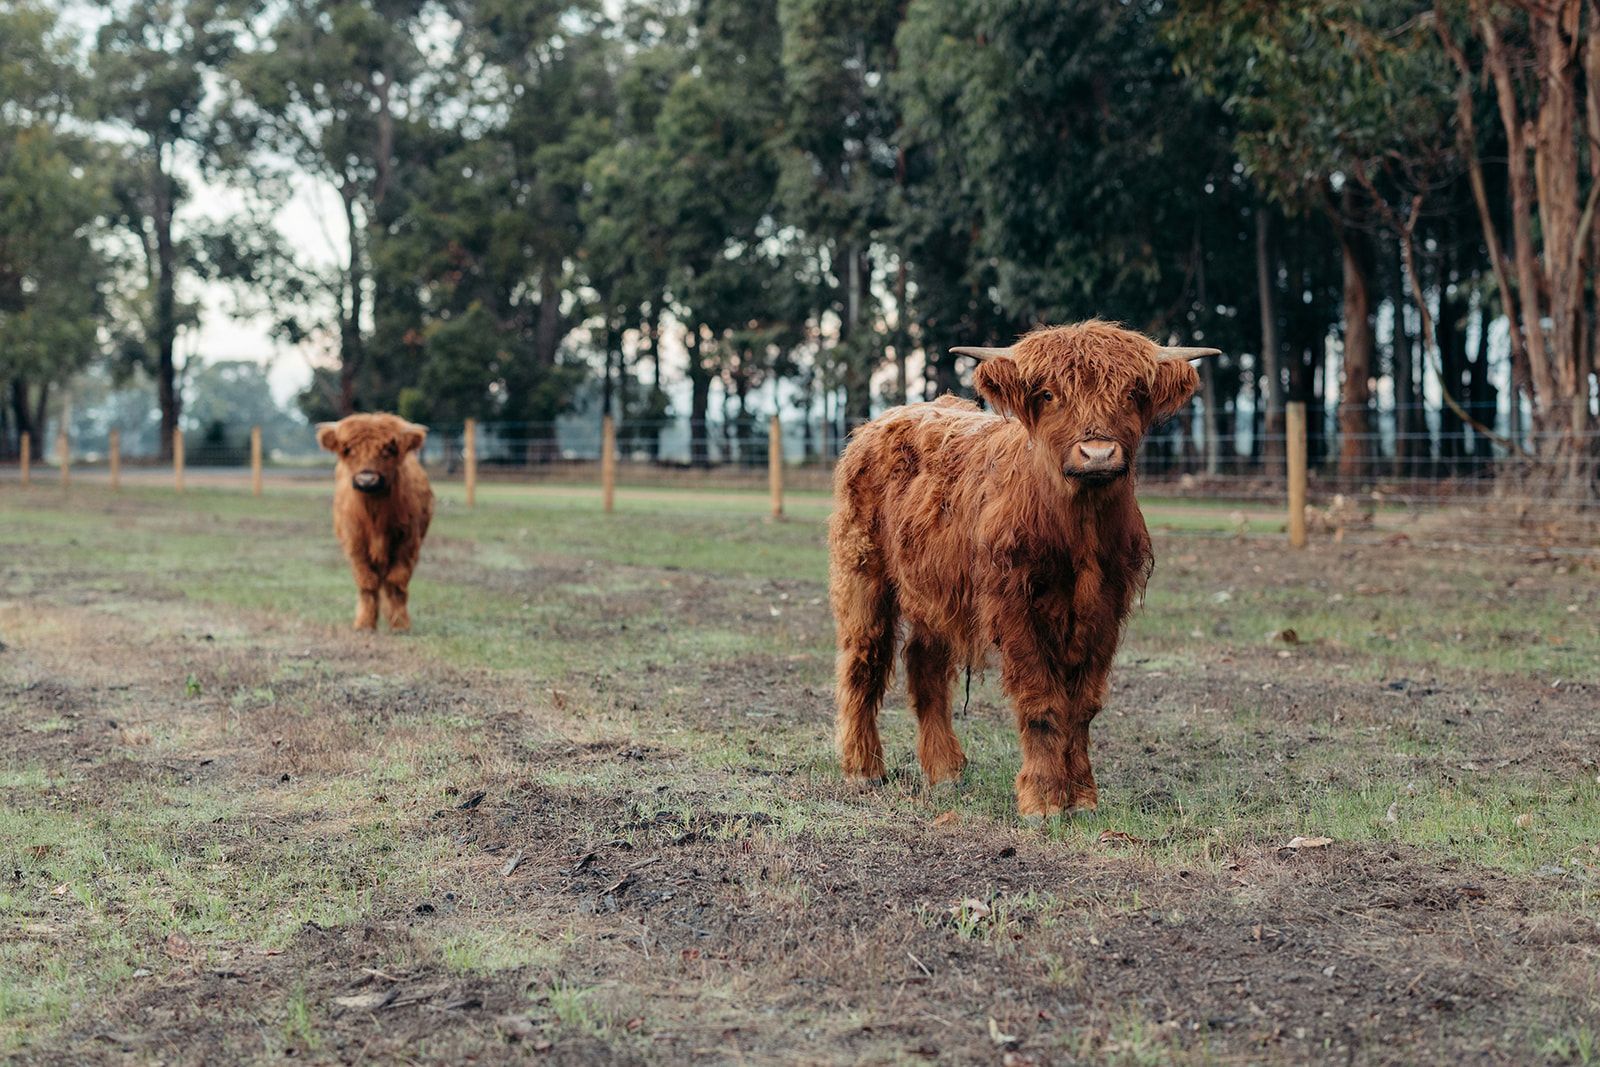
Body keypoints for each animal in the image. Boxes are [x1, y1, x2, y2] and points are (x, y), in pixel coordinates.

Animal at [316, 413, 434, 632]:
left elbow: (396, 581)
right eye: (348, 450)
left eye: (389, 450)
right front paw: (364, 623)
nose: (367, 480)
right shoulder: (355, 543)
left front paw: (400, 624)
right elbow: (367, 582)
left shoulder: (407, 542)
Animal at [828, 321, 1219, 819]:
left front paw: (1083, 797)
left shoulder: (1106, 609)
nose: (1097, 454)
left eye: (1132, 393)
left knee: (924, 664)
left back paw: (945, 770)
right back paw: (863, 769)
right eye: (1049, 394)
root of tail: (881, 422)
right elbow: (1041, 700)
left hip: (936, 589)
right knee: (864, 661)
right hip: (863, 575)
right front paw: (1044, 799)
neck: (1079, 531)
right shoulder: (1013, 605)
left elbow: (1083, 704)